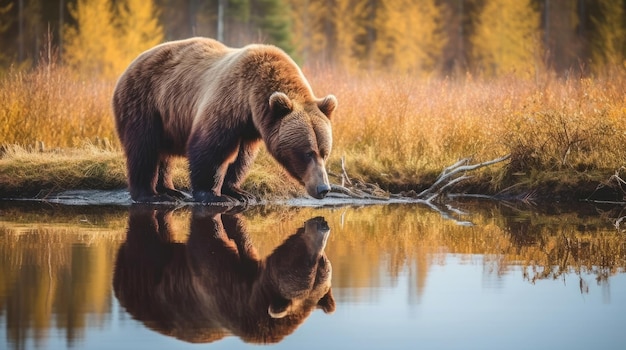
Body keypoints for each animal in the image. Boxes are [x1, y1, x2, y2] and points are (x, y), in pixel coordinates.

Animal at [112, 37, 336, 204]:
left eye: (324, 153)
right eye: (308, 153)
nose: (323, 188)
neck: (252, 102)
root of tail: (130, 65)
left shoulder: (250, 128)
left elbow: (242, 158)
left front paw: (239, 192)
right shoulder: (229, 102)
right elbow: (212, 149)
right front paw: (213, 194)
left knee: (163, 153)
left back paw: (170, 190)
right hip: (144, 103)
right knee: (144, 148)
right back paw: (151, 195)